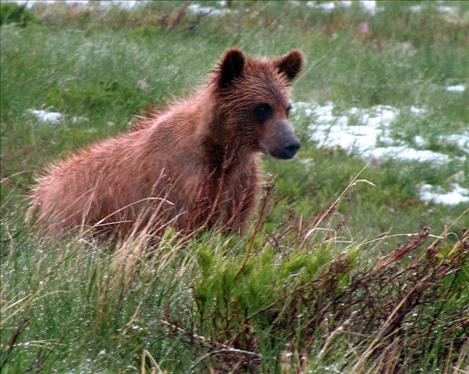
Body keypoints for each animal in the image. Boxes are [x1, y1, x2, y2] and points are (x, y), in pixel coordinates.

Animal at [27, 48, 302, 240]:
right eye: (262, 108)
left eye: (287, 108)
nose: (291, 144)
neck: (223, 149)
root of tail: (40, 191)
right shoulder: (178, 182)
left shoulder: (238, 186)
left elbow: (230, 227)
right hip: (75, 214)